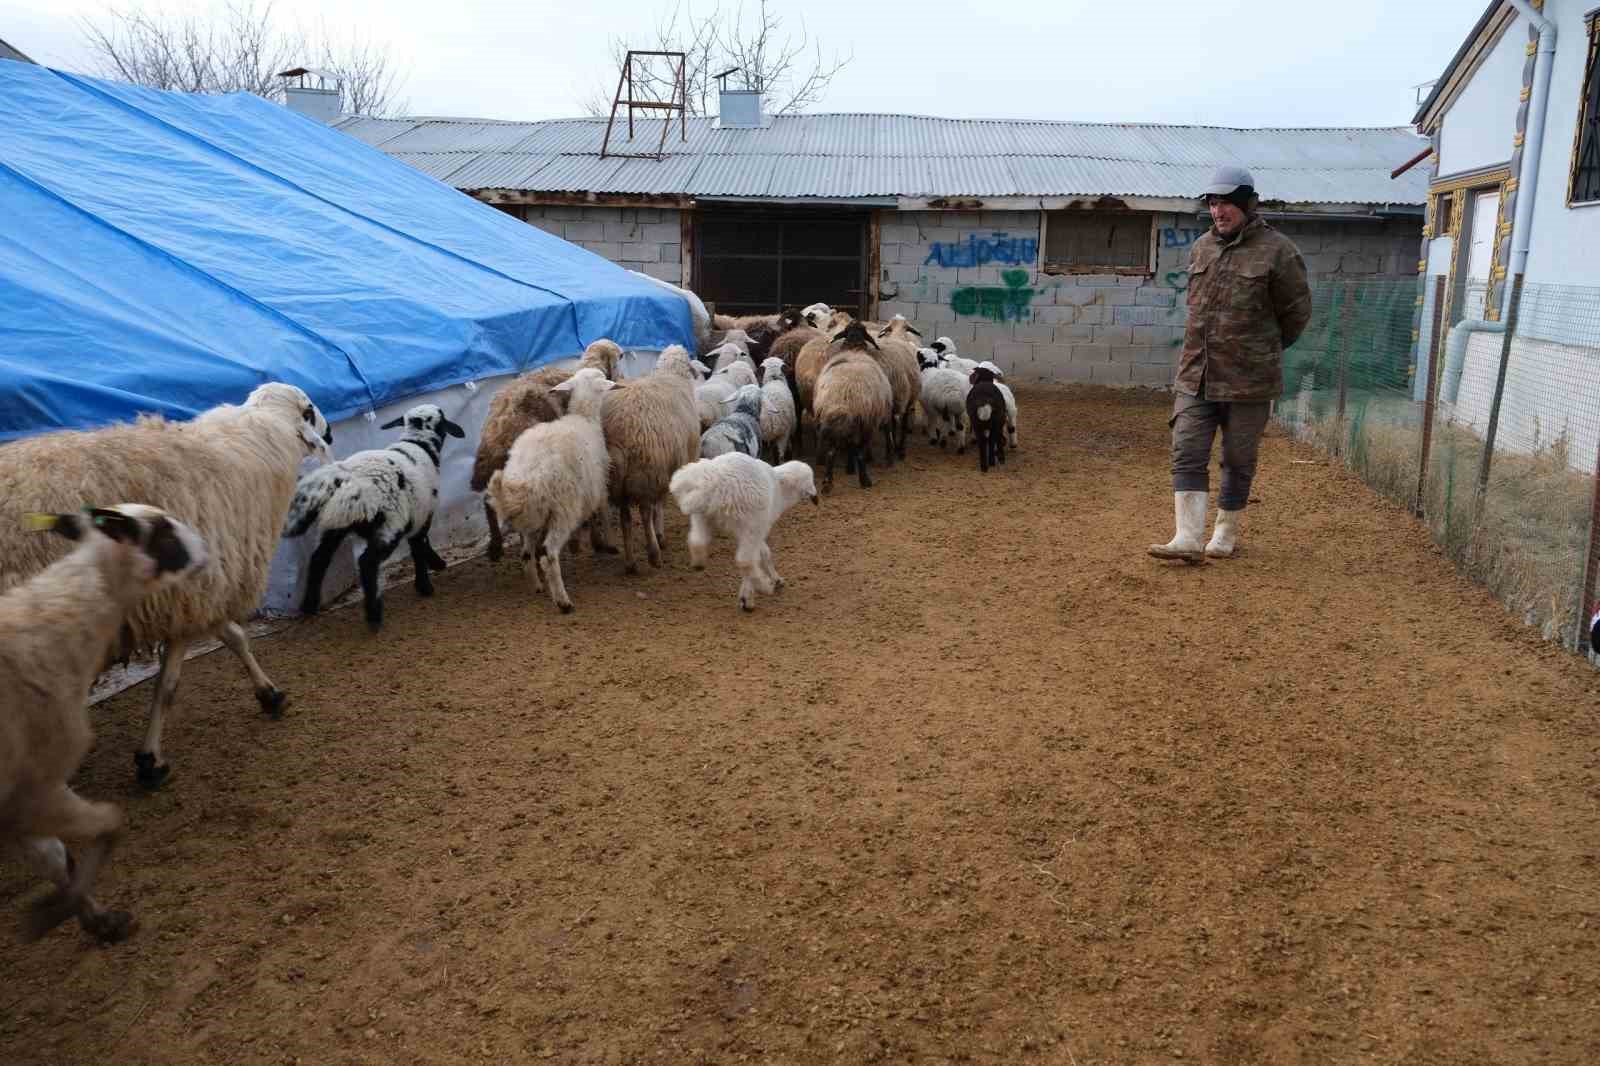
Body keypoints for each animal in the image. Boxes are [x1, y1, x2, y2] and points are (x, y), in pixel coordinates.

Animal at [0, 377, 332, 784]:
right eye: (309, 409)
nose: (330, 432)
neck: (254, 447)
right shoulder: (187, 595)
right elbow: (168, 686)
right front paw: (150, 761)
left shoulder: (203, 589)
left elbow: (235, 638)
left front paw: (269, 694)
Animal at [2, 499, 209, 941]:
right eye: (164, 533)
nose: (207, 548)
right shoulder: (37, 785)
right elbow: (102, 828)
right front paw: (71, 913)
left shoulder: (15, 799)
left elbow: (54, 856)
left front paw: (91, 916)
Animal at [283, 400, 464, 630]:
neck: (418, 444)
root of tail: (346, 478)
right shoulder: (423, 513)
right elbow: (420, 547)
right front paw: (427, 581)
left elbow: (419, 546)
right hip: (389, 524)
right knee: (367, 563)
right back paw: (373, 614)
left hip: (335, 523)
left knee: (318, 559)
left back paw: (310, 605)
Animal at [480, 368, 617, 611]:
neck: (584, 417)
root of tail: (527, 479)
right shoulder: (598, 486)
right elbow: (603, 513)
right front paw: (607, 543)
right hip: (562, 510)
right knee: (548, 554)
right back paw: (563, 602)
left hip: (533, 515)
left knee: (526, 554)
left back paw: (537, 587)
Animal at [668, 451, 819, 614]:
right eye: (810, 480)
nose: (815, 497)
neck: (781, 490)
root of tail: (714, 480)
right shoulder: (758, 527)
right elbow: (761, 556)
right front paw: (751, 595)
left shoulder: (754, 531)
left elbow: (763, 553)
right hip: (749, 523)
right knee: (745, 561)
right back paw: (763, 586)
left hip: (701, 516)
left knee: (697, 541)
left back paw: (699, 562)